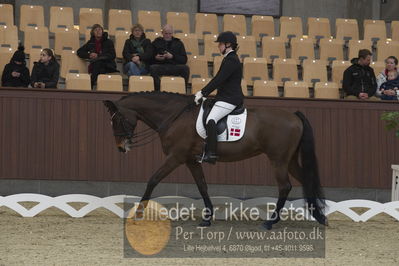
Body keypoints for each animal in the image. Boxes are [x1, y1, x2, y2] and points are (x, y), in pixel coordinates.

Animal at [103, 91, 328, 229]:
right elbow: (202, 186)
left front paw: (138, 214)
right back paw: (319, 216)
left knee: (285, 186)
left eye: (118, 120)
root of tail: (294, 115)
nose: (122, 148)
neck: (174, 117)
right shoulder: (191, 160)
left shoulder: (175, 157)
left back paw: (270, 222)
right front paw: (207, 218)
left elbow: (153, 180)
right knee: (305, 180)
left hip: (278, 160)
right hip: (289, 160)